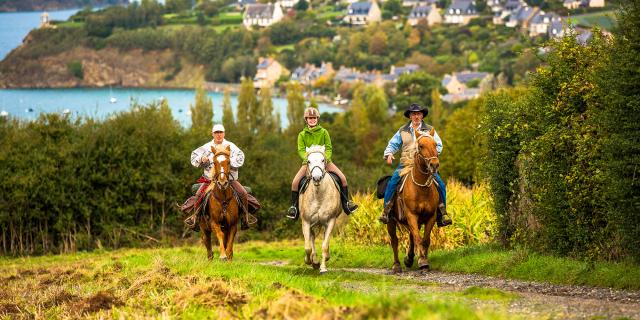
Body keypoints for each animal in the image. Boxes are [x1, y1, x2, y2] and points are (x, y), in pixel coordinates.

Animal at [302, 146, 344, 274]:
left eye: (323, 160)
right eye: (308, 161)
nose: (316, 178)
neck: (318, 195)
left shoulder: (330, 221)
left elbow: (325, 245)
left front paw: (323, 268)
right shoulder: (306, 222)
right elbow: (307, 247)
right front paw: (309, 261)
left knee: (324, 238)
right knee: (312, 238)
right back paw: (314, 261)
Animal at [384, 127, 440, 272]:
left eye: (435, 145)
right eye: (421, 146)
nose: (434, 165)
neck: (421, 189)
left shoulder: (431, 216)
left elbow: (424, 240)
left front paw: (423, 260)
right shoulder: (411, 215)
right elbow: (418, 238)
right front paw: (422, 261)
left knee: (411, 237)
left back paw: (408, 259)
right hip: (391, 221)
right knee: (394, 240)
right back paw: (397, 265)